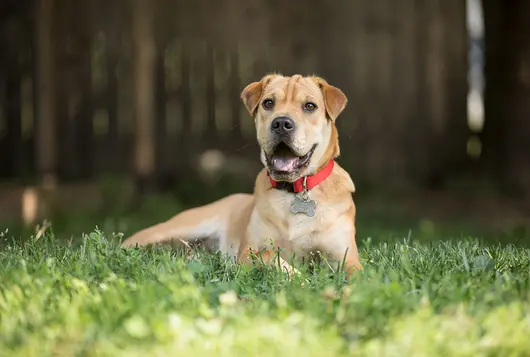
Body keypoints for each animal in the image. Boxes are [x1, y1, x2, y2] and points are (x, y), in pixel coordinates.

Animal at [120, 73, 358, 276]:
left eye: (310, 106)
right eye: (268, 103)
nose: (281, 123)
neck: (294, 191)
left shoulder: (347, 259)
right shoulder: (248, 252)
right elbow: (270, 255)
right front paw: (298, 278)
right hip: (176, 228)